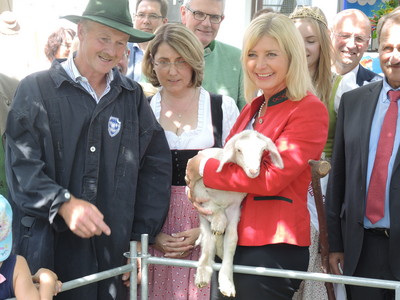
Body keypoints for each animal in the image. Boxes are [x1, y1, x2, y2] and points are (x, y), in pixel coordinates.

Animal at [192, 129, 282, 298]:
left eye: (263, 150)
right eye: (239, 150)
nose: (253, 171)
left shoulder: (235, 208)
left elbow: (232, 240)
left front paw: (227, 282)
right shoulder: (199, 193)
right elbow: (214, 208)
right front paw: (219, 222)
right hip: (202, 216)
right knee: (207, 240)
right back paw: (203, 273)